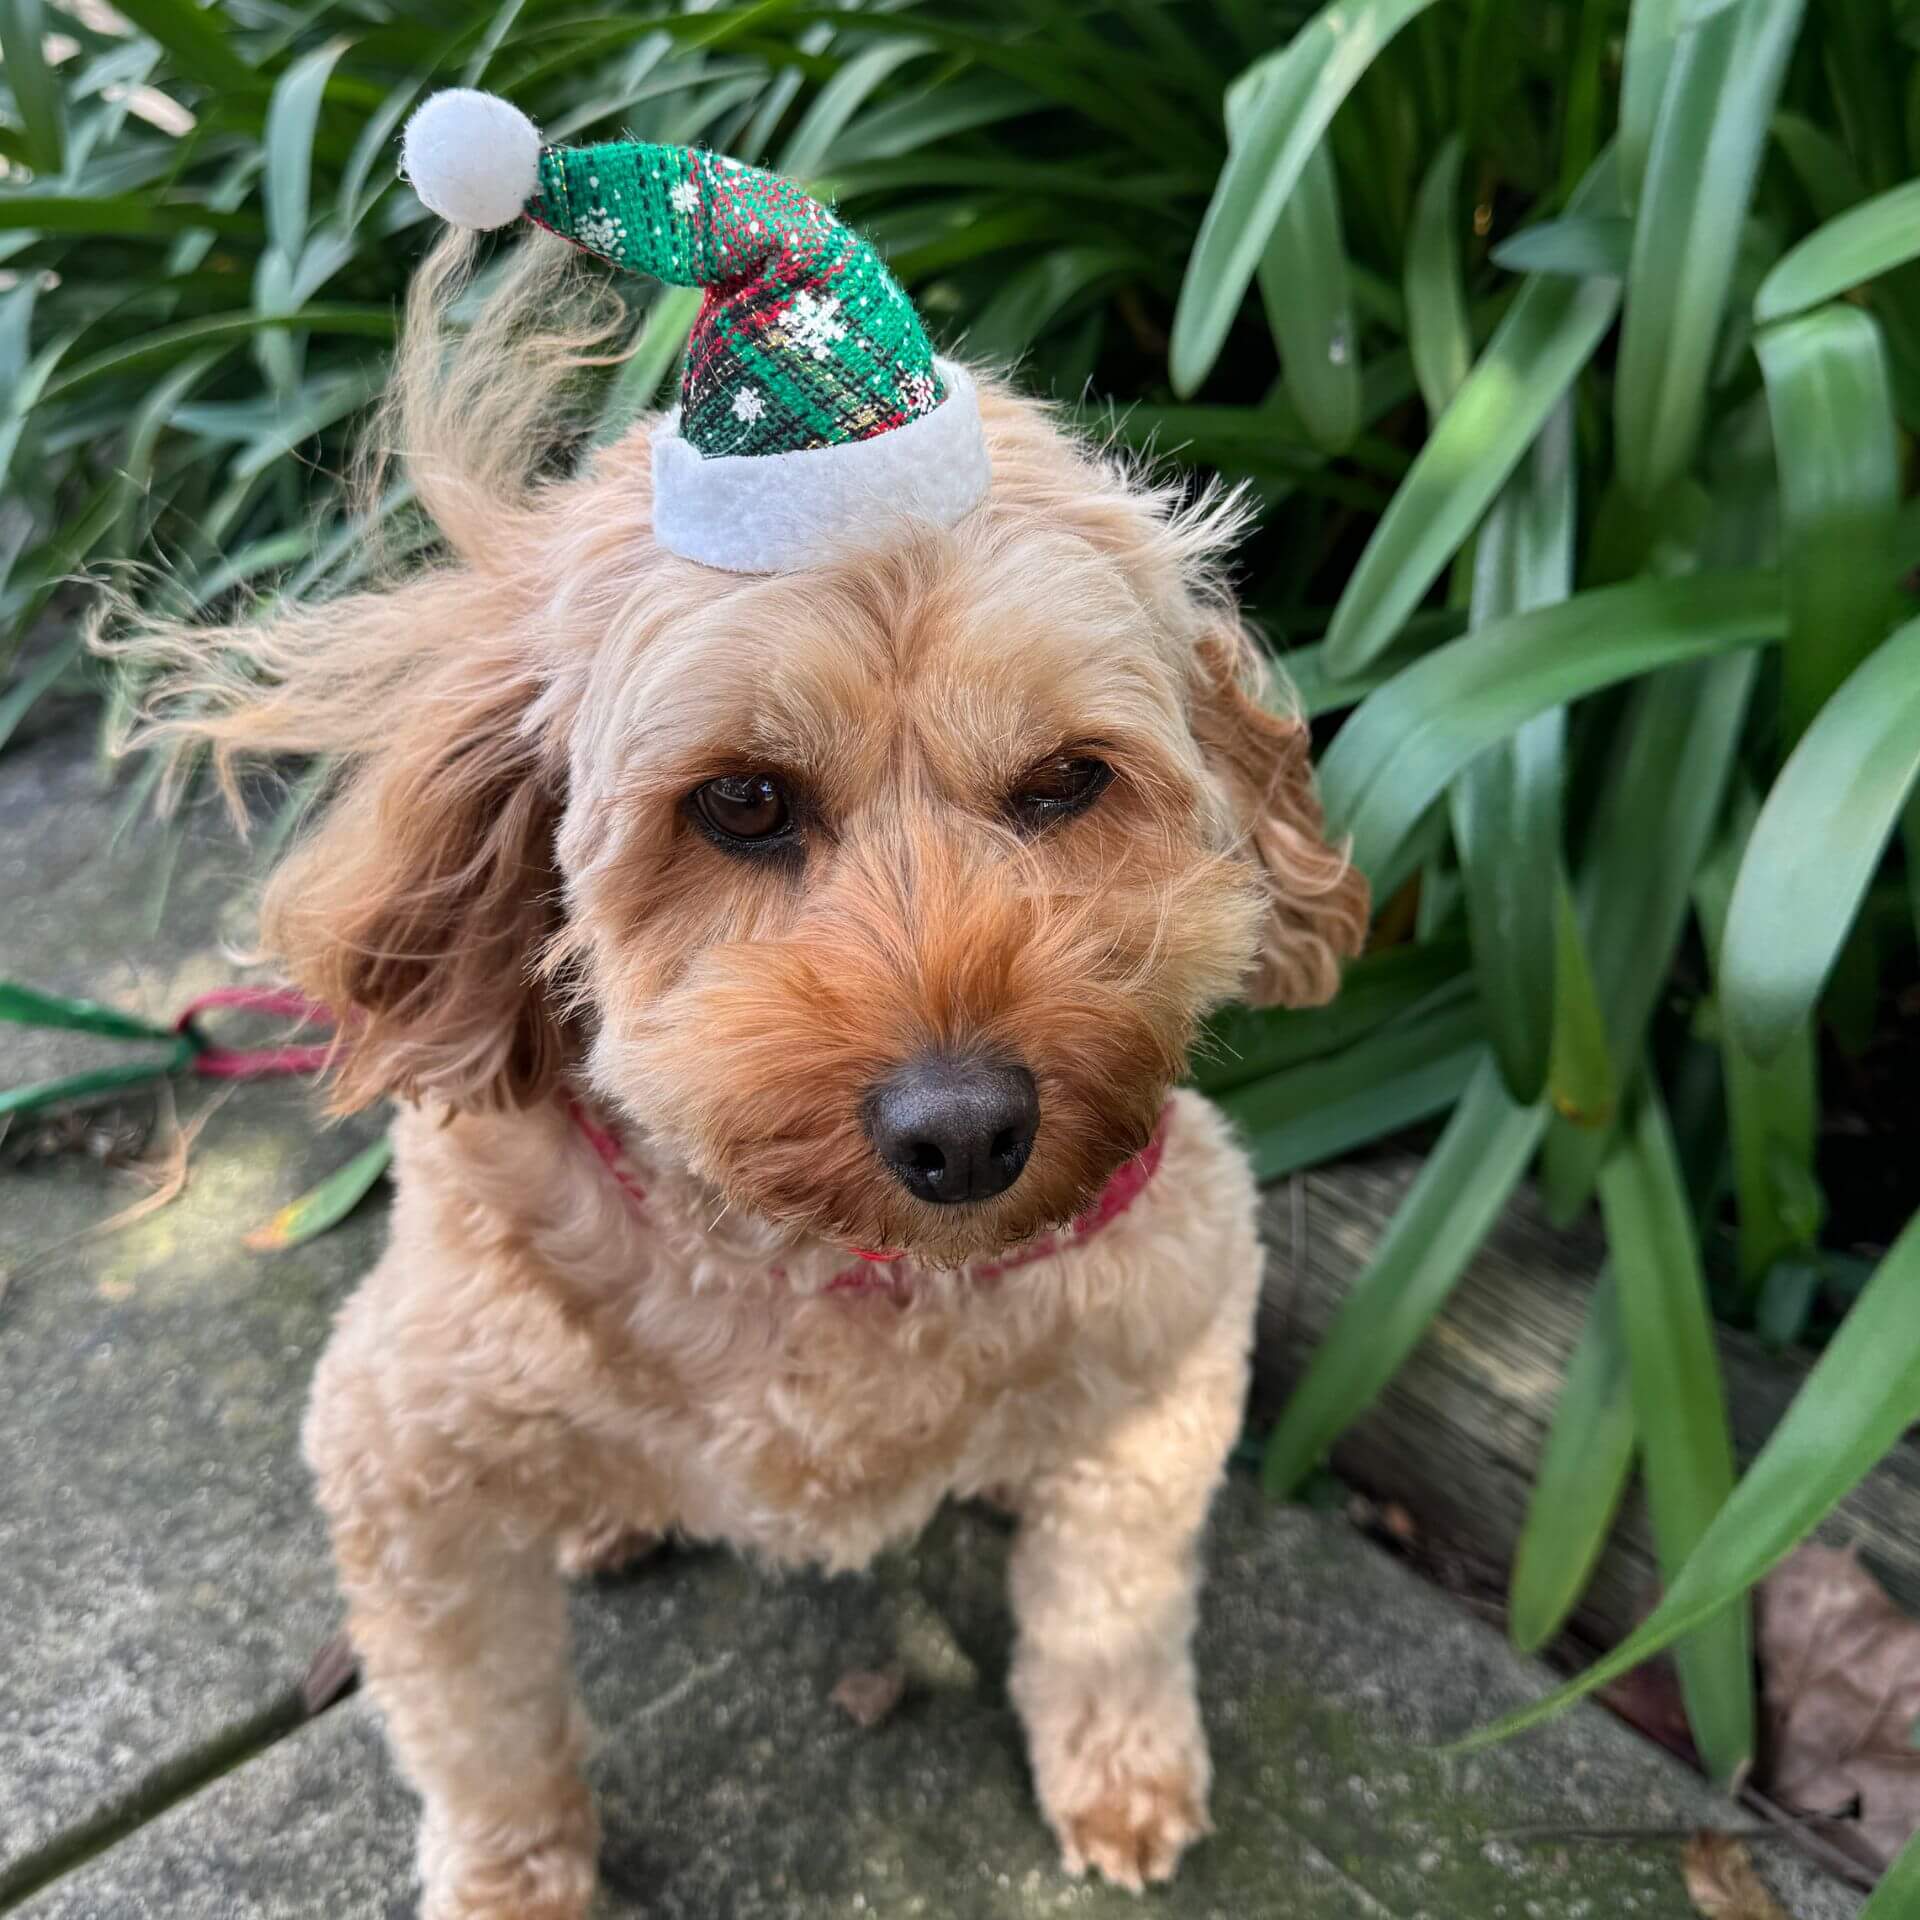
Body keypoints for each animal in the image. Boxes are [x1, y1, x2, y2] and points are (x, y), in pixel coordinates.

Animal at [127, 217, 1367, 1912]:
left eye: (1065, 781)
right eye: (745, 803)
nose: (965, 1134)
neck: (821, 1268)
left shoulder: (1174, 1320)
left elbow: (1110, 1605)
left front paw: (1120, 1770)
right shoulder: (398, 1462)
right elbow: (481, 1728)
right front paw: (513, 1879)